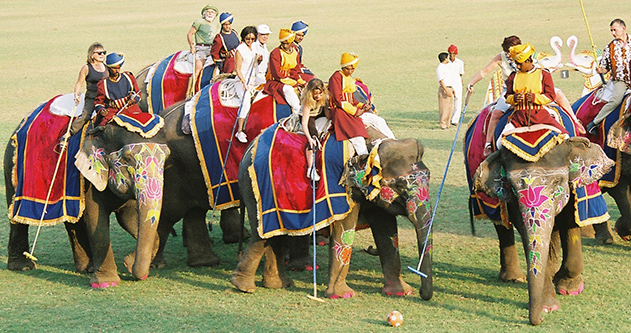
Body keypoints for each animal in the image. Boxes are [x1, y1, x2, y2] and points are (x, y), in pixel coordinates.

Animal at [476, 136, 616, 324]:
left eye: (557, 183)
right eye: (512, 187)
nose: (539, 320)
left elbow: (570, 220)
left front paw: (568, 287)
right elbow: (526, 231)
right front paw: (548, 306)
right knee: (501, 225)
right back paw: (513, 278)